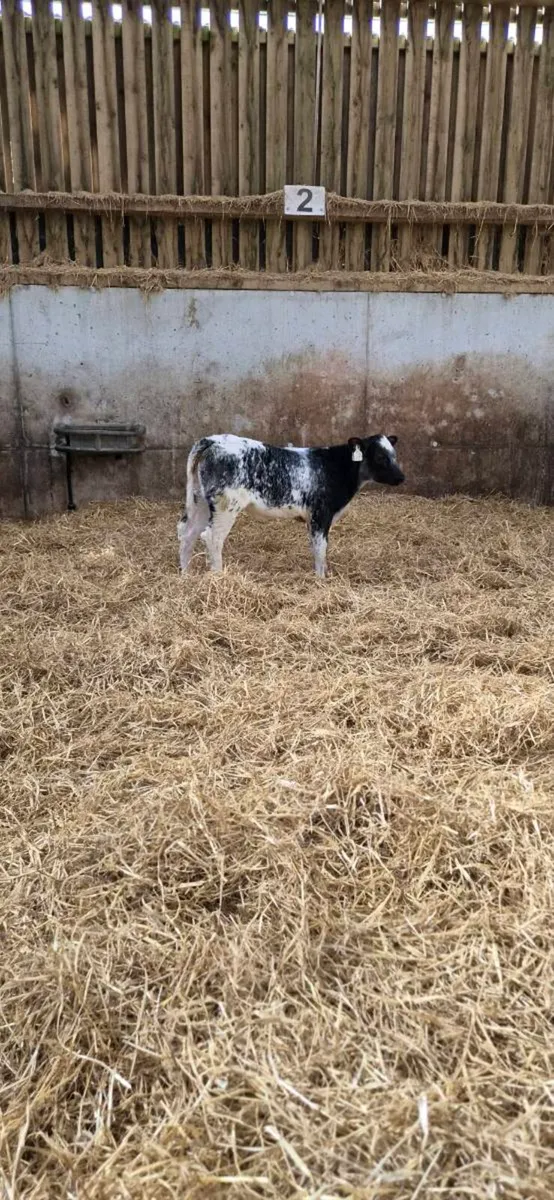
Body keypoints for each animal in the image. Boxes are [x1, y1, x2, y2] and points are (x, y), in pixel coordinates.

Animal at [177, 433, 405, 577]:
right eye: (380, 457)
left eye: (394, 455)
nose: (401, 478)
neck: (335, 467)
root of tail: (213, 440)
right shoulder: (321, 513)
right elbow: (321, 547)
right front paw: (321, 579)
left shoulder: (312, 518)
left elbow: (314, 546)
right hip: (226, 506)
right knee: (212, 537)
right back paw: (218, 577)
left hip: (200, 501)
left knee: (187, 533)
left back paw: (186, 575)